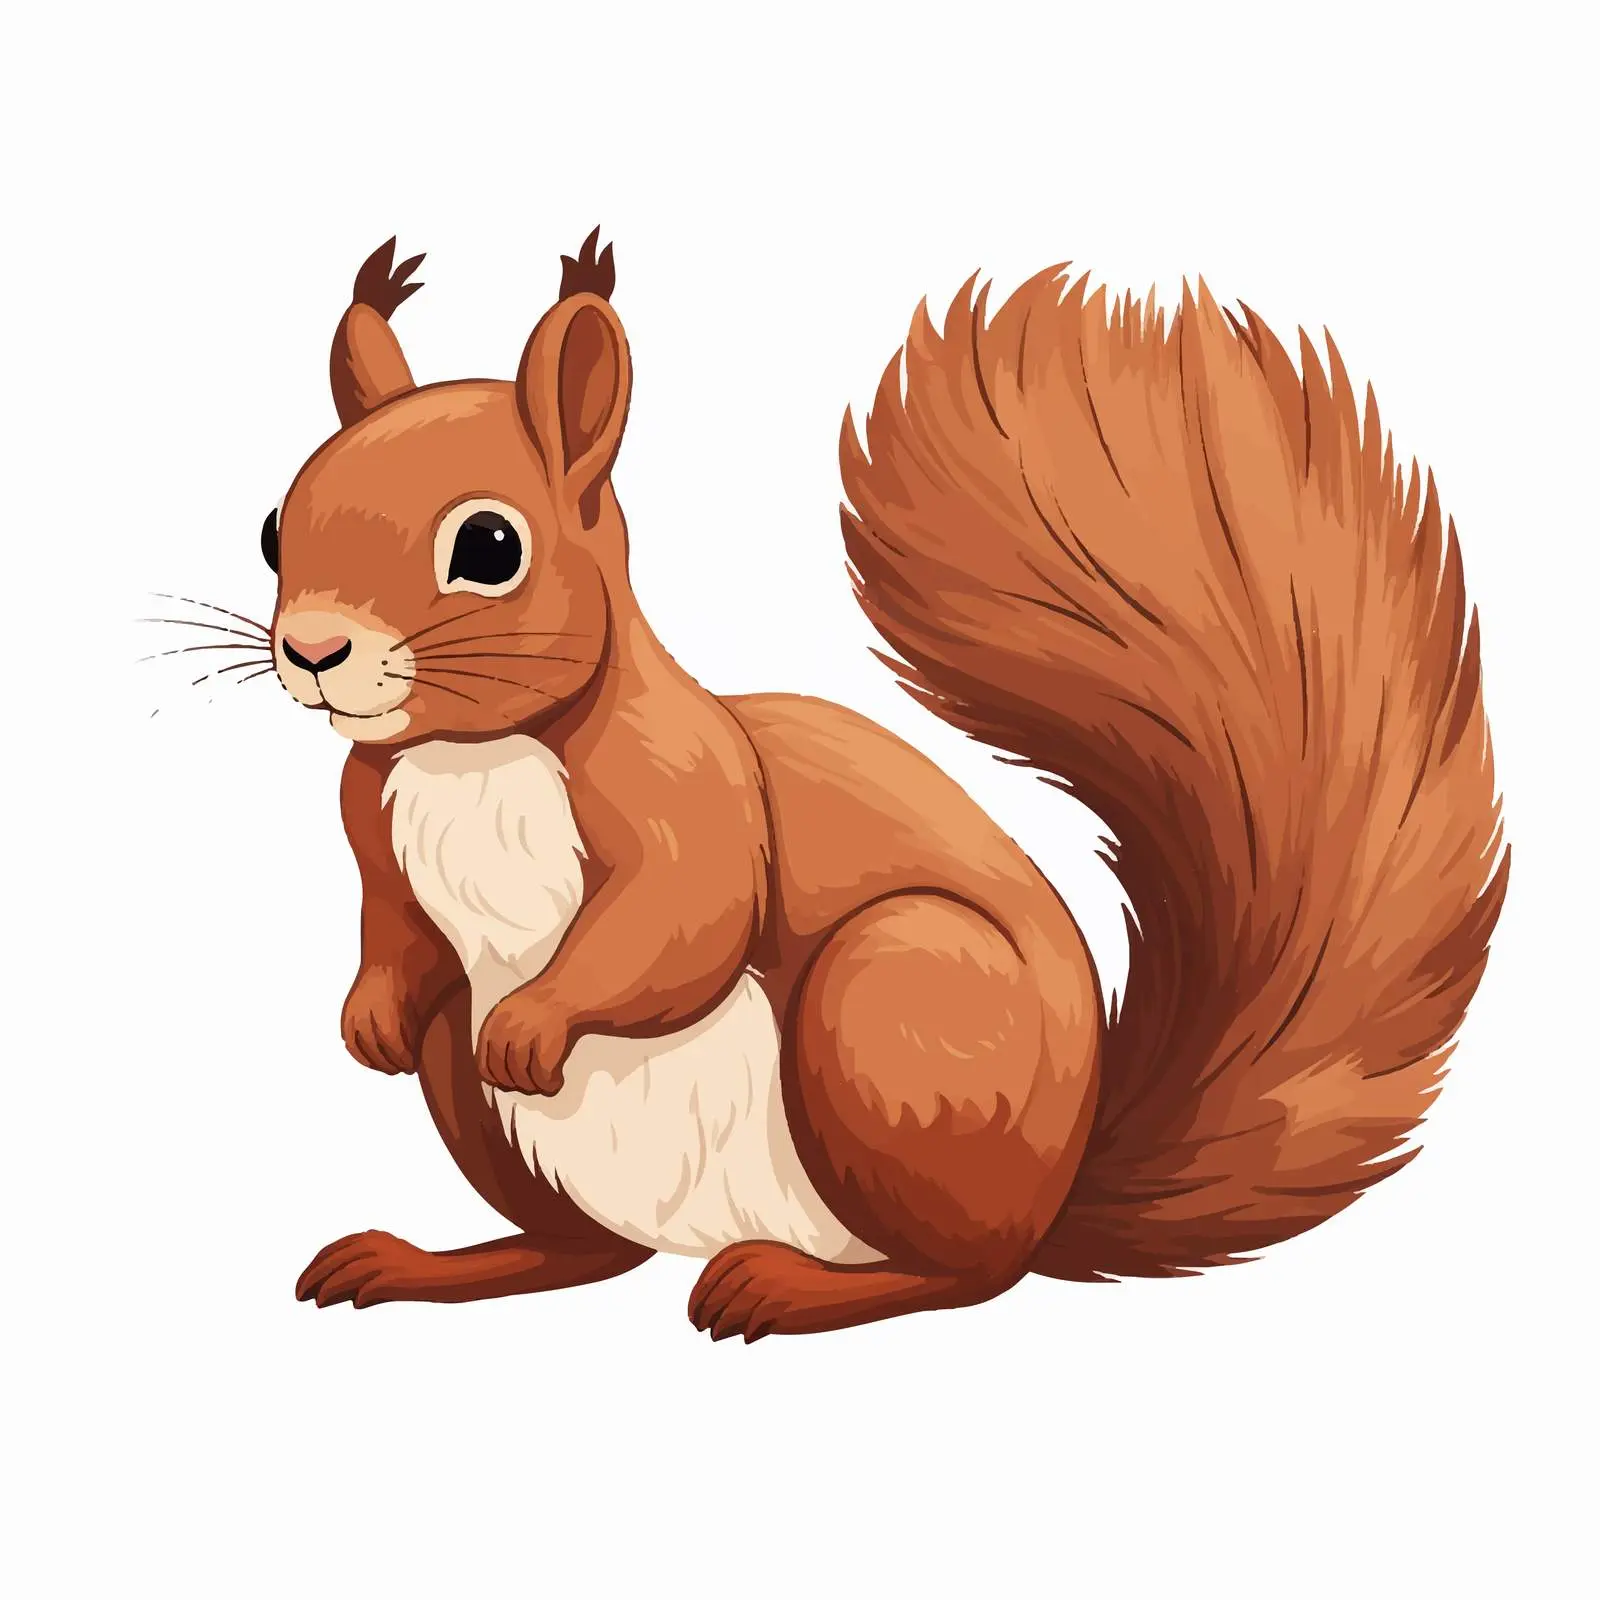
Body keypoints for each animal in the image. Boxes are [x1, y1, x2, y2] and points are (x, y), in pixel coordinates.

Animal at [269, 230, 1507, 1339]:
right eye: (276, 525)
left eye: (488, 545)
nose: (313, 650)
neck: (468, 756)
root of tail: (1059, 1193)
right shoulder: (372, 826)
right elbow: (397, 930)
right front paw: (367, 1015)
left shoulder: (688, 789)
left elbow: (682, 922)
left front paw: (534, 1021)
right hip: (506, 1103)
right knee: (579, 1251)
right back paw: (423, 1262)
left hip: (890, 1001)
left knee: (965, 1275)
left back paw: (780, 1289)